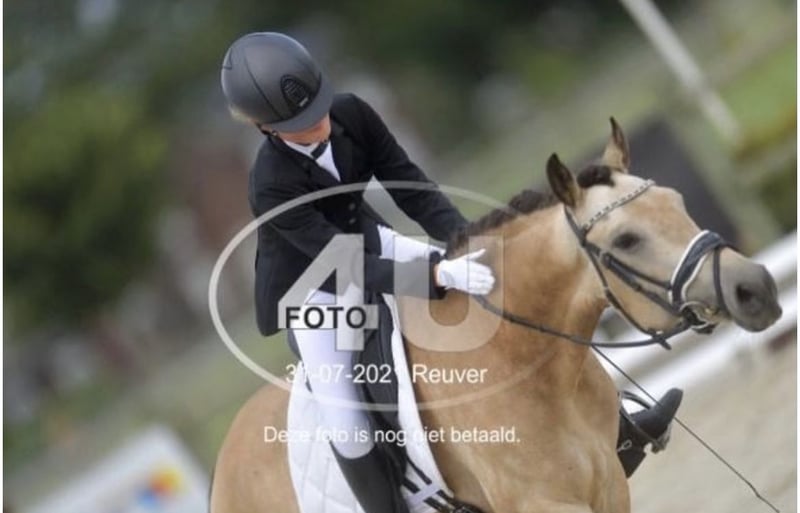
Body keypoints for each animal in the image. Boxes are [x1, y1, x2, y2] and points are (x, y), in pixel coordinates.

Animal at [209, 119, 781, 513]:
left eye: (676, 202)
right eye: (625, 240)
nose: (755, 289)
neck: (522, 361)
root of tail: (223, 462)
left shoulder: (609, 488)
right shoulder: (546, 504)